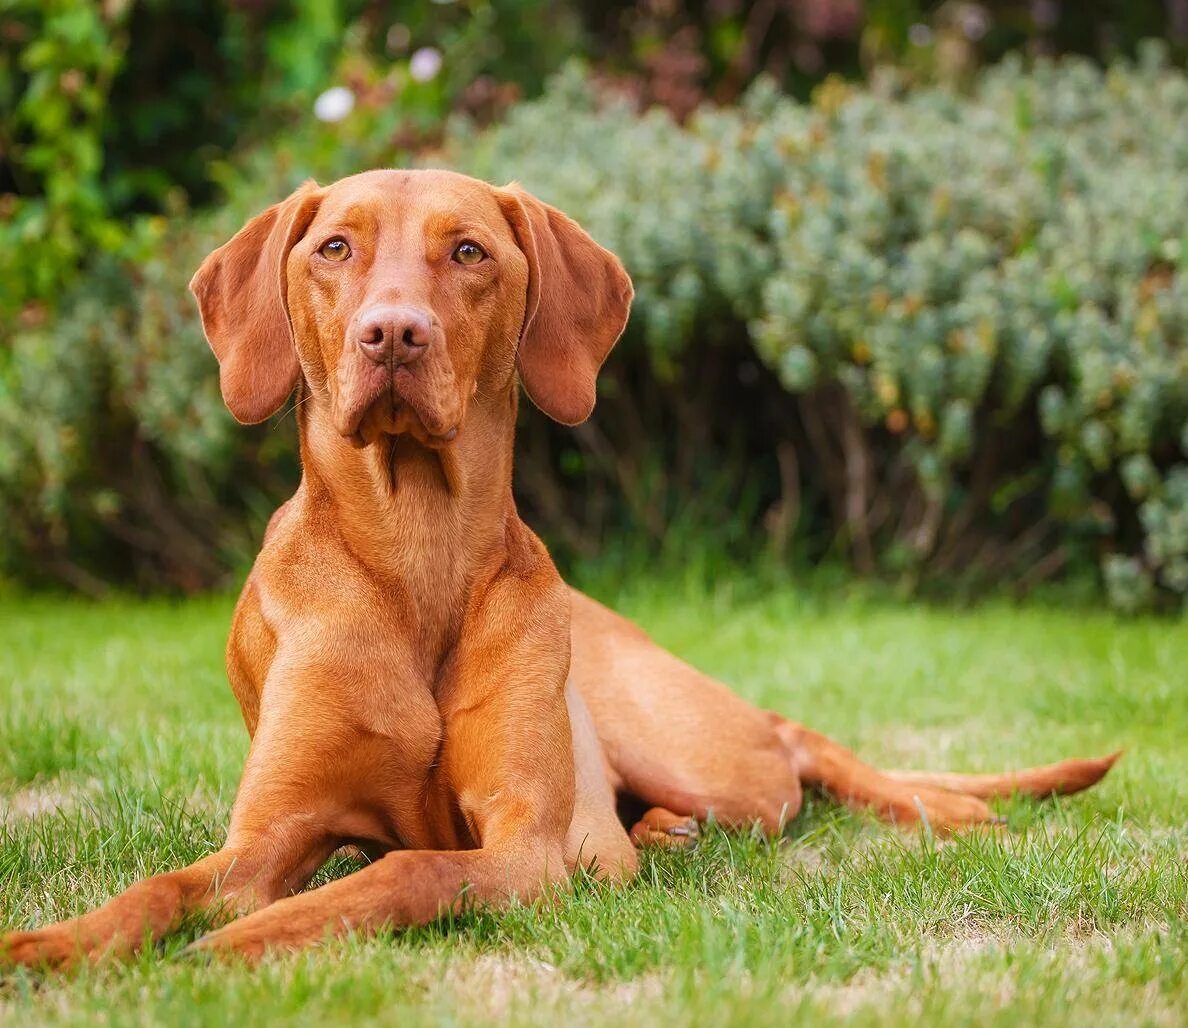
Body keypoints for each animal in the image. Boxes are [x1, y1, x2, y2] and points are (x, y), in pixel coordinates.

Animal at [0, 166, 1116, 960]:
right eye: (334, 246)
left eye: (468, 251)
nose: (392, 335)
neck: (418, 547)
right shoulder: (267, 837)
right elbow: (164, 887)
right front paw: (50, 947)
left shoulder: (520, 846)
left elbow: (403, 869)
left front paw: (246, 941)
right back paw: (664, 835)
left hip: (692, 749)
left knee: (795, 755)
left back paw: (946, 812)